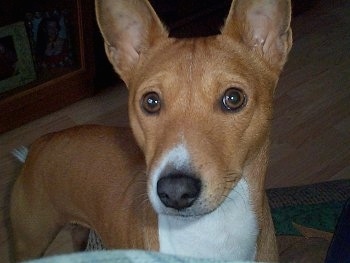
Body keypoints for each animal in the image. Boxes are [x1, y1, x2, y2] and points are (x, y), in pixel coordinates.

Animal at [8, 0, 292, 262]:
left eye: (234, 98)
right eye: (151, 101)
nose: (176, 191)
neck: (213, 235)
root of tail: (39, 144)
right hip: (29, 241)